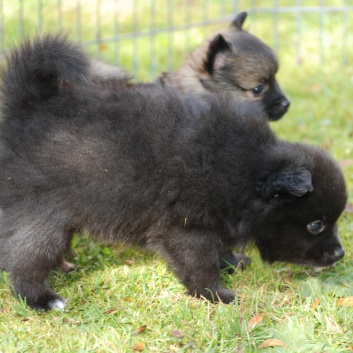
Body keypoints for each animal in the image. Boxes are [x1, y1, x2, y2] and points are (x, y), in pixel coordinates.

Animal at [0, 35, 346, 310]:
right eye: (316, 224)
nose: (340, 254)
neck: (245, 168)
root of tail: (25, 107)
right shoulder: (186, 230)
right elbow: (201, 265)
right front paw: (217, 294)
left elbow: (219, 248)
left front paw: (232, 263)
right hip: (44, 217)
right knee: (26, 259)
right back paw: (42, 299)